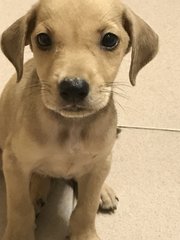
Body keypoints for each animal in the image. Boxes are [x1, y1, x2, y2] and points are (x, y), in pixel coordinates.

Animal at [0, 0, 158, 240]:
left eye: (110, 39)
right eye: (43, 39)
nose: (73, 88)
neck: (71, 127)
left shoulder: (98, 164)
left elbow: (86, 206)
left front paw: (85, 233)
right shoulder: (13, 163)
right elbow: (20, 207)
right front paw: (20, 233)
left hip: (103, 160)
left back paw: (103, 191)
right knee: (40, 176)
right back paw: (37, 190)